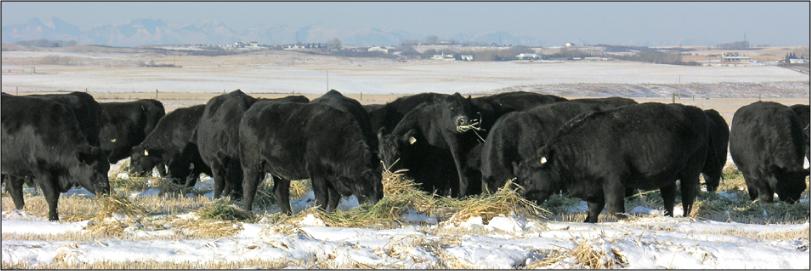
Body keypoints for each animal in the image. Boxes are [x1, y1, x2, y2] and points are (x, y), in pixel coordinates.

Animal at [239, 101, 386, 214]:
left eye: (380, 188)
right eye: (362, 189)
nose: (374, 205)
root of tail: (249, 112)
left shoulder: (332, 178)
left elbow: (334, 197)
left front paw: (330, 214)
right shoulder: (317, 173)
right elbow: (322, 197)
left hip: (281, 173)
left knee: (280, 192)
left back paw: (288, 214)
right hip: (251, 166)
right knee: (249, 188)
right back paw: (248, 213)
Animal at [512, 103, 712, 224]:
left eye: (529, 179)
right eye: (519, 178)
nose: (521, 199)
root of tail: (696, 111)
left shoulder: (613, 182)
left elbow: (615, 209)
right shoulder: (594, 189)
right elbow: (593, 210)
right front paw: (589, 221)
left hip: (690, 173)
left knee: (687, 198)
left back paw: (685, 217)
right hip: (667, 177)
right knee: (668, 197)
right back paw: (668, 216)